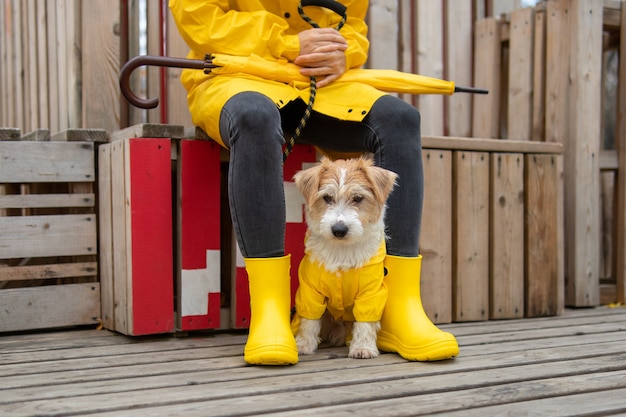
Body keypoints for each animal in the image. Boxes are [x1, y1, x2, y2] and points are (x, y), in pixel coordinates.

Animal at [292, 156, 394, 358]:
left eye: (358, 198)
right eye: (327, 198)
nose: (339, 229)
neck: (342, 251)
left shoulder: (371, 292)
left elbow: (365, 321)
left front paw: (363, 347)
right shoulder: (310, 290)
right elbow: (309, 319)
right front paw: (304, 344)